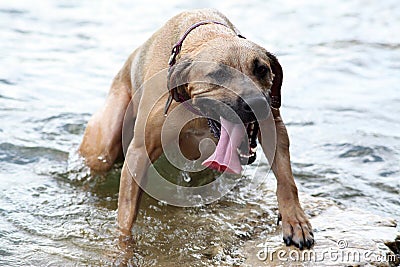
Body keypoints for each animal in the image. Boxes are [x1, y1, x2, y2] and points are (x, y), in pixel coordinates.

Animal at [79, 8, 314, 251]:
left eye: (262, 70)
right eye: (219, 75)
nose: (256, 103)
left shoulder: (273, 125)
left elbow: (286, 180)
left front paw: (295, 220)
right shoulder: (139, 152)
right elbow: (126, 218)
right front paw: (124, 250)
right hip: (105, 139)